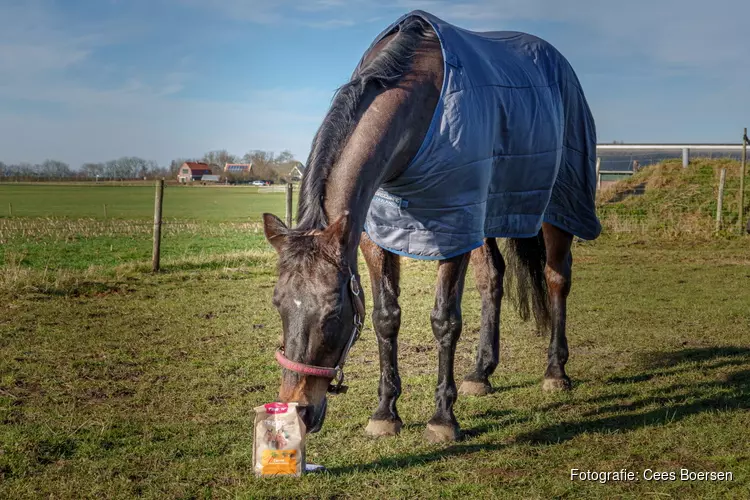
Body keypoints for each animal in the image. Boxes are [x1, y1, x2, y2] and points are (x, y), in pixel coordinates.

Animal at [262, 11, 600, 442]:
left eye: (333, 313)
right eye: (278, 304)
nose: (297, 413)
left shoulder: (452, 230)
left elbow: (445, 321)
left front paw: (442, 418)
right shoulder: (377, 236)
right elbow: (385, 317)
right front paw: (385, 412)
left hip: (557, 207)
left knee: (557, 278)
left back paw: (555, 372)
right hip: (485, 216)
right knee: (492, 278)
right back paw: (480, 373)